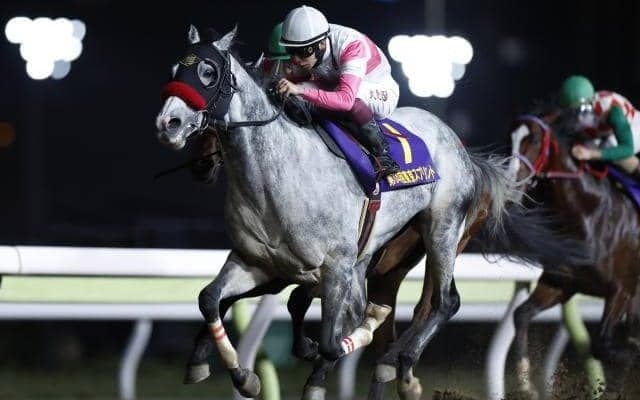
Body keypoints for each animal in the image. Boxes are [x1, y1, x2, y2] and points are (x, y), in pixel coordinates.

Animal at [154, 25, 589, 399]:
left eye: (208, 72)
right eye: (175, 70)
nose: (167, 123)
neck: (276, 177)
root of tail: (461, 148)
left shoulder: (337, 268)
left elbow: (333, 341)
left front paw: (330, 360)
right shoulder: (257, 262)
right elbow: (210, 298)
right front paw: (237, 374)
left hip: (444, 228)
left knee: (443, 302)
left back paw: (401, 362)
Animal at [509, 110, 640, 399]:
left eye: (535, 140)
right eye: (510, 138)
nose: (511, 184)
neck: (588, 216)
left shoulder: (622, 290)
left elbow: (603, 344)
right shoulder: (561, 282)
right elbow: (521, 315)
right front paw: (525, 384)